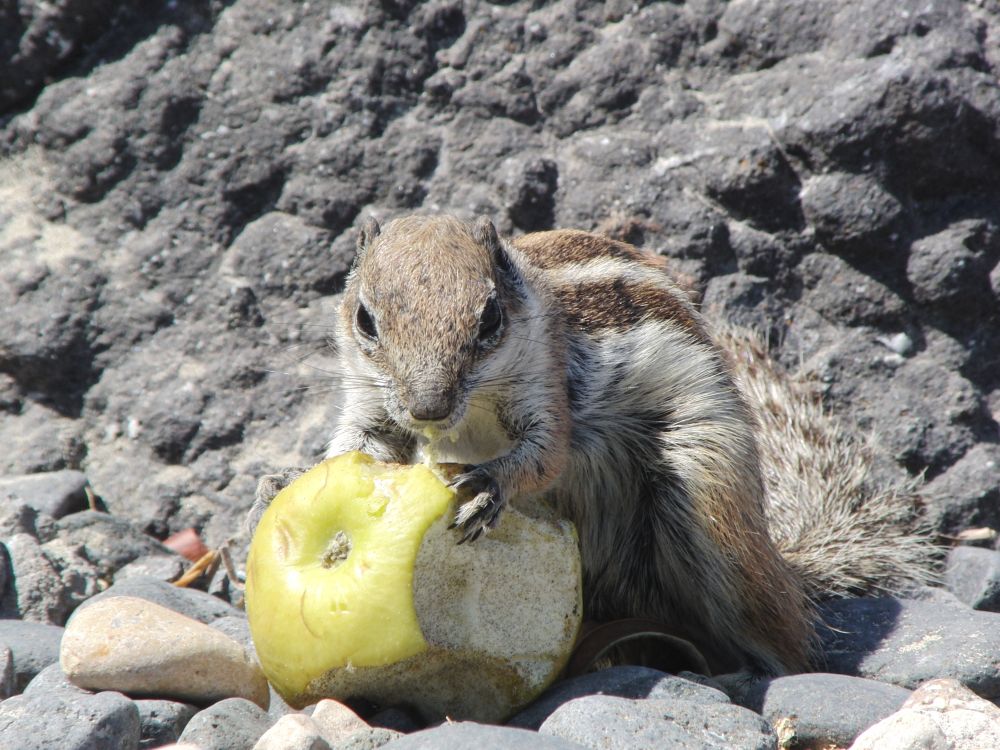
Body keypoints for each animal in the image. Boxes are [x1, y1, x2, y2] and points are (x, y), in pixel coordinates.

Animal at [248, 213, 928, 680]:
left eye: (490, 319)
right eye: (366, 320)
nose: (428, 409)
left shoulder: (548, 397)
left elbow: (543, 457)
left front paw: (489, 485)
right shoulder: (369, 402)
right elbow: (357, 446)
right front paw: (278, 485)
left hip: (710, 498)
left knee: (780, 632)